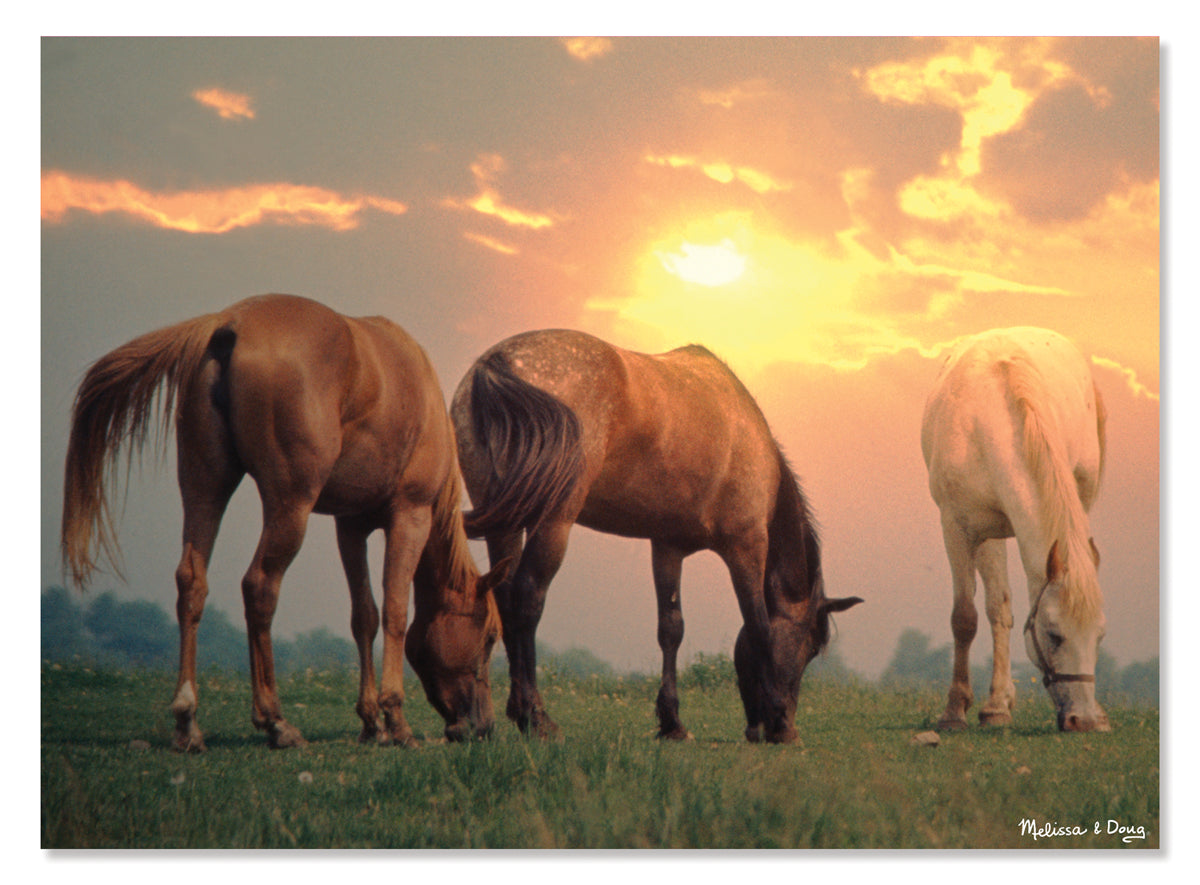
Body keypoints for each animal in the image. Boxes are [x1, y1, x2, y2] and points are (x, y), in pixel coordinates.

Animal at [61, 294, 506, 751]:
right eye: (490, 637)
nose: (483, 726)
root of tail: (229, 325)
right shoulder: (409, 514)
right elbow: (395, 612)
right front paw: (395, 720)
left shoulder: (351, 526)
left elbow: (363, 615)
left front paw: (370, 722)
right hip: (290, 506)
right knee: (259, 587)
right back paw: (275, 721)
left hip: (205, 488)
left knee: (192, 583)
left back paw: (188, 721)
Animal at [451, 329, 862, 743]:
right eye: (810, 646)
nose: (784, 720)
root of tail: (498, 363)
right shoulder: (746, 545)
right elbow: (759, 625)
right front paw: (777, 722)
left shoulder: (668, 546)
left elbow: (671, 628)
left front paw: (672, 722)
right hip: (553, 521)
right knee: (528, 599)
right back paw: (535, 716)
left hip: (504, 522)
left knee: (503, 598)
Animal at [921, 327, 1109, 733]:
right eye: (1054, 635)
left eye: (1100, 636)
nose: (1084, 720)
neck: (988, 426)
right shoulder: (959, 529)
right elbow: (967, 617)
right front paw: (955, 710)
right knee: (998, 609)